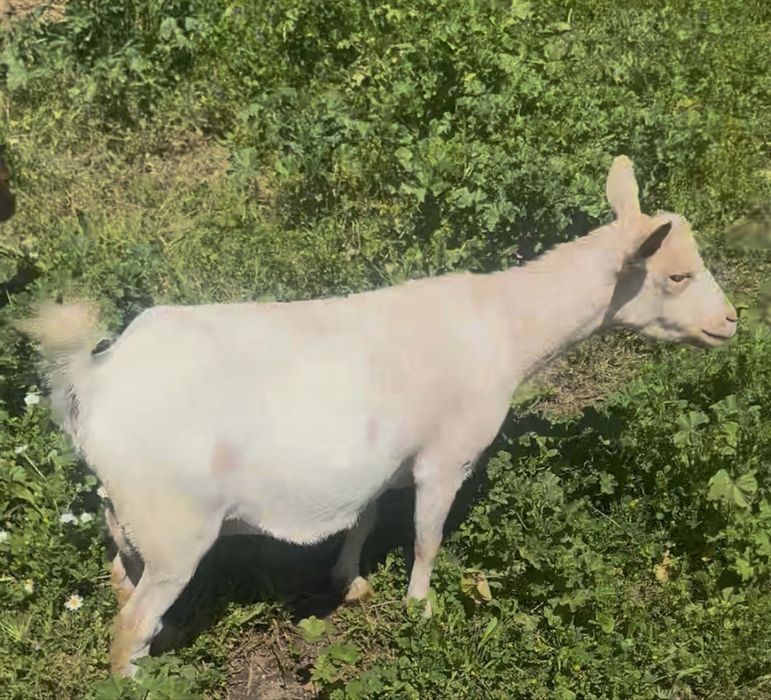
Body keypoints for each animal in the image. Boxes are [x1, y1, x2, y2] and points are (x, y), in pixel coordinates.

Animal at [17, 156, 737, 676]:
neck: (504, 328)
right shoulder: (446, 455)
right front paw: (420, 607)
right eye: (675, 276)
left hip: (129, 515)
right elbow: (426, 536)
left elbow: (363, 519)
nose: (729, 321)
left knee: (120, 581)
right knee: (128, 623)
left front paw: (351, 582)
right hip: (177, 526)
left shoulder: (382, 459)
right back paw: (135, 677)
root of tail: (97, 383)